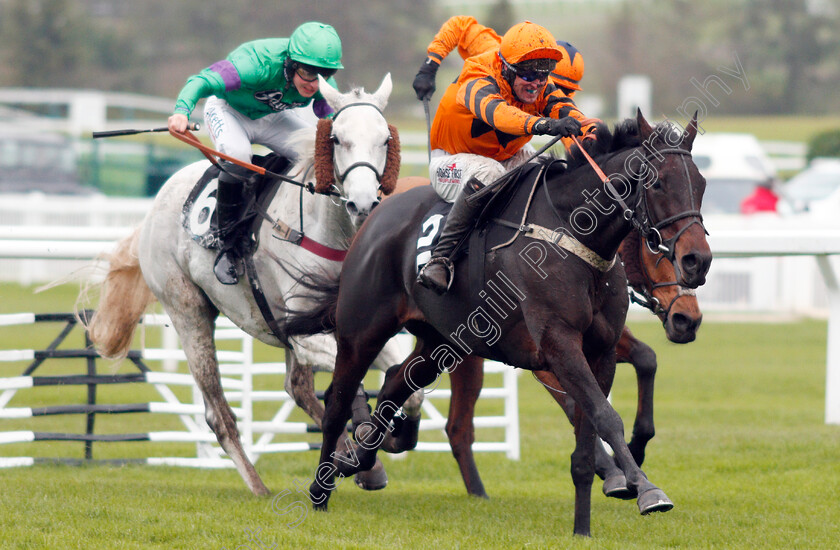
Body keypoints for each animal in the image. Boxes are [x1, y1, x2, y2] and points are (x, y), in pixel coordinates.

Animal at [286, 112, 712, 540]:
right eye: (657, 182)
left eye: (701, 184)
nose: (697, 262)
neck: (571, 235)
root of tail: (373, 214)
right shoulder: (557, 346)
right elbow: (605, 416)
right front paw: (646, 489)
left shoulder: (600, 350)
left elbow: (592, 425)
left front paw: (585, 525)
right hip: (361, 331)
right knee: (338, 403)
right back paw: (321, 492)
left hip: (443, 343)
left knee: (396, 383)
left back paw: (361, 458)